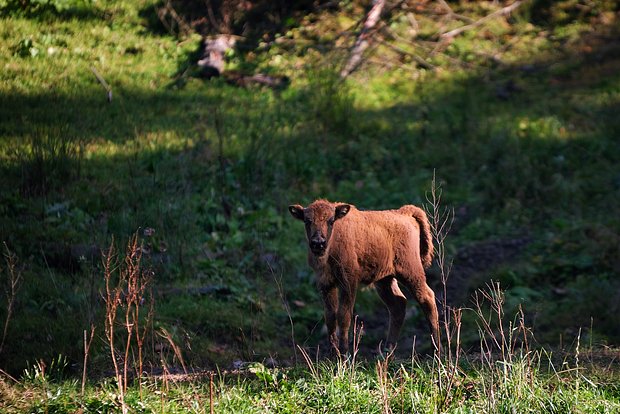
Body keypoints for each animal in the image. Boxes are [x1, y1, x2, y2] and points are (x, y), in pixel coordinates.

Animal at [290, 199, 440, 354]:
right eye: (307, 221)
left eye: (331, 221)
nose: (318, 243)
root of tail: (404, 213)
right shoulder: (325, 284)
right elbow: (330, 317)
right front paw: (334, 354)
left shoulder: (348, 282)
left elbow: (344, 316)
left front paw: (344, 354)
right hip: (384, 280)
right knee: (398, 305)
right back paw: (386, 353)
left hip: (411, 273)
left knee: (427, 298)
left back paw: (436, 351)